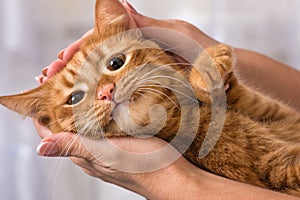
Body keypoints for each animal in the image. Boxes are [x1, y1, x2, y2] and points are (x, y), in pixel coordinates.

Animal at [0, 0, 300, 197]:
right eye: (74, 98)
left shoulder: (279, 116)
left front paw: (207, 68)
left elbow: (236, 93)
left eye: (116, 63)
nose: (106, 92)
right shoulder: (276, 171)